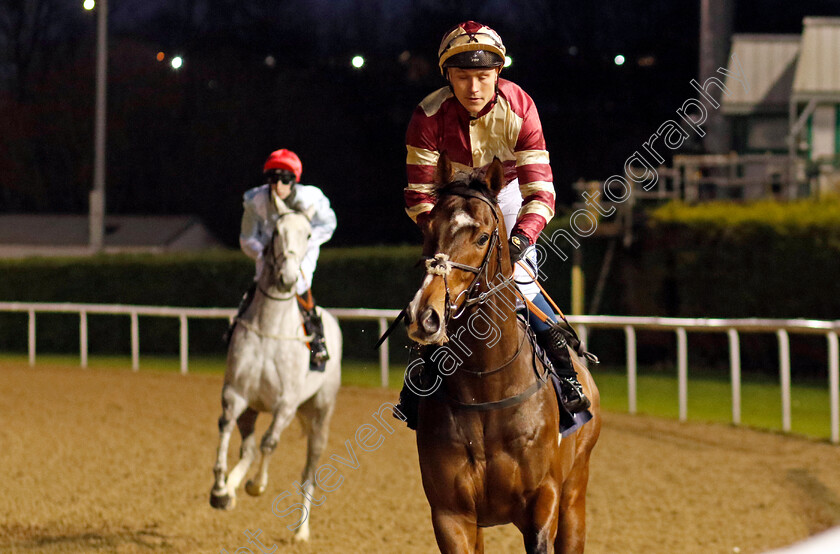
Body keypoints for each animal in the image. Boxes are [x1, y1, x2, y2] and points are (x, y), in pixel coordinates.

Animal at [210, 199, 342, 540]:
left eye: (308, 234)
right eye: (276, 232)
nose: (287, 278)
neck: (269, 329)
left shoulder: (286, 404)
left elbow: (270, 442)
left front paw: (257, 485)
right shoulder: (235, 394)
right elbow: (225, 427)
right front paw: (220, 489)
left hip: (320, 415)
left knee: (309, 471)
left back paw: (301, 530)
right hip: (252, 409)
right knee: (248, 449)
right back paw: (229, 491)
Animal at [406, 155, 596, 552]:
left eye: (481, 237)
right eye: (428, 229)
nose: (424, 315)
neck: (486, 389)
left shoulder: (544, 500)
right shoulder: (451, 513)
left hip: (575, 493)